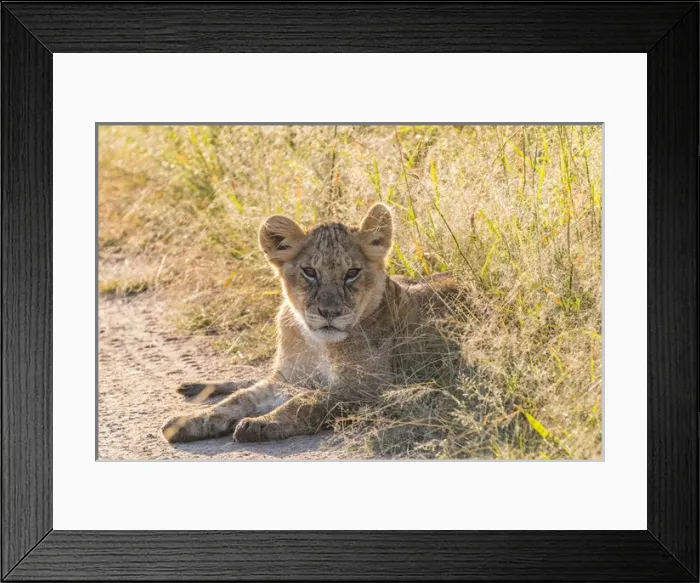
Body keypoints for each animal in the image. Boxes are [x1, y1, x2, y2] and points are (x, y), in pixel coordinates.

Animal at [162, 203, 460, 444]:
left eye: (352, 273)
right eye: (309, 272)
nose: (329, 312)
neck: (317, 344)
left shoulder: (366, 387)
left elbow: (307, 401)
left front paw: (261, 423)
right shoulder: (287, 379)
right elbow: (238, 399)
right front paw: (188, 422)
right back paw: (196, 387)